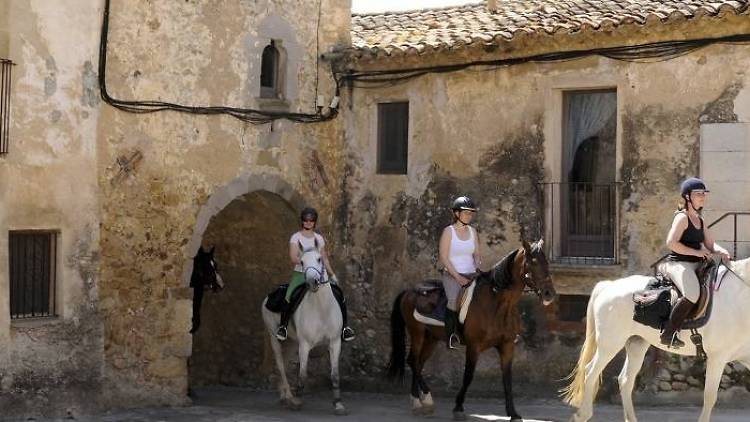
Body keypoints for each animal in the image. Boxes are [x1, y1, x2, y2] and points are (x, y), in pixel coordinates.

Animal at [262, 241, 350, 416]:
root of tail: (270, 295)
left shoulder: (335, 342)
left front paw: (338, 404)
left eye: (319, 259)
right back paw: (289, 397)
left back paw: (285, 396)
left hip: (291, 342)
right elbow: (302, 375)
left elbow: (335, 375)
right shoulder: (305, 345)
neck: (321, 308)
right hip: (274, 337)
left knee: (286, 362)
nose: (313, 282)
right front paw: (297, 401)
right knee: (281, 365)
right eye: (301, 262)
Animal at [388, 239, 560, 420]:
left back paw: (423, 401)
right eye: (533, 262)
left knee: (419, 364)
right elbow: (468, 376)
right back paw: (419, 400)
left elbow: (507, 379)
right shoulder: (473, 346)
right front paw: (458, 407)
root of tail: (409, 291)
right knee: (412, 361)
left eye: (546, 262)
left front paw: (513, 413)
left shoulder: (507, 346)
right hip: (417, 334)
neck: (497, 304)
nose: (549, 293)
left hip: (431, 338)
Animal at [564, 256, 750, 420]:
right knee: (590, 372)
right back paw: (582, 415)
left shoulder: (746, 358)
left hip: (636, 344)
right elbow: (710, 397)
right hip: (610, 344)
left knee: (625, 380)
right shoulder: (717, 358)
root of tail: (608, 286)